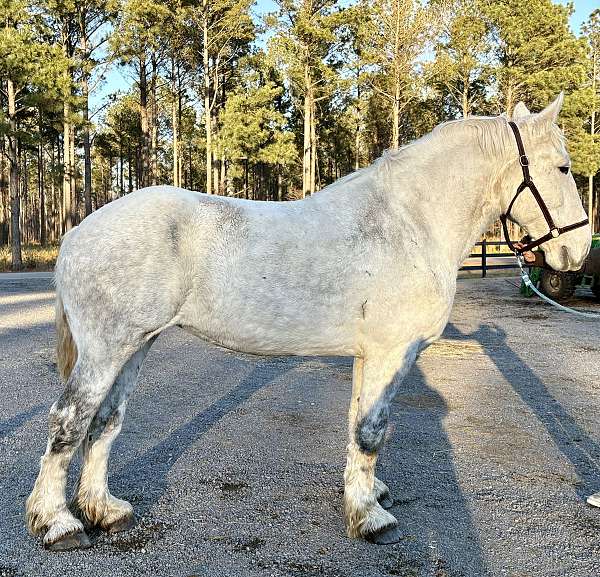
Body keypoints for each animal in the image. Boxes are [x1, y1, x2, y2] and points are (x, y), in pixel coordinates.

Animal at [25, 94, 588, 548]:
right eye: (562, 168)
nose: (578, 250)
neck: (409, 224)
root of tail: (78, 233)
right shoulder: (391, 353)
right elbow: (371, 430)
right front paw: (371, 519)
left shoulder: (369, 355)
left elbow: (359, 426)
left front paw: (365, 495)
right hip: (105, 349)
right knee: (68, 422)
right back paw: (58, 524)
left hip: (135, 346)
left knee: (104, 422)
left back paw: (104, 510)